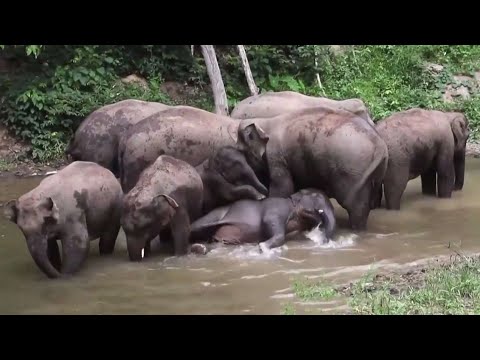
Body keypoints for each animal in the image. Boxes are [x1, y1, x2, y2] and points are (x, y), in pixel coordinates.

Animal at [120, 149, 268, 262]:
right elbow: (230, 193)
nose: (266, 194)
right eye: (236, 164)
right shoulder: (212, 179)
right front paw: (260, 196)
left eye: (146, 226)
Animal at [189, 187, 336, 252]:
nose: (324, 242)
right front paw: (263, 247)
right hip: (215, 214)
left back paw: (201, 248)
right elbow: (271, 225)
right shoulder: (276, 210)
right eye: (316, 196)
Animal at [238, 107, 388, 231]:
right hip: (372, 172)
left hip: (352, 169)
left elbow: (282, 189)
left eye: (239, 151)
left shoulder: (276, 157)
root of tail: (379, 143)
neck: (264, 122)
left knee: (356, 206)